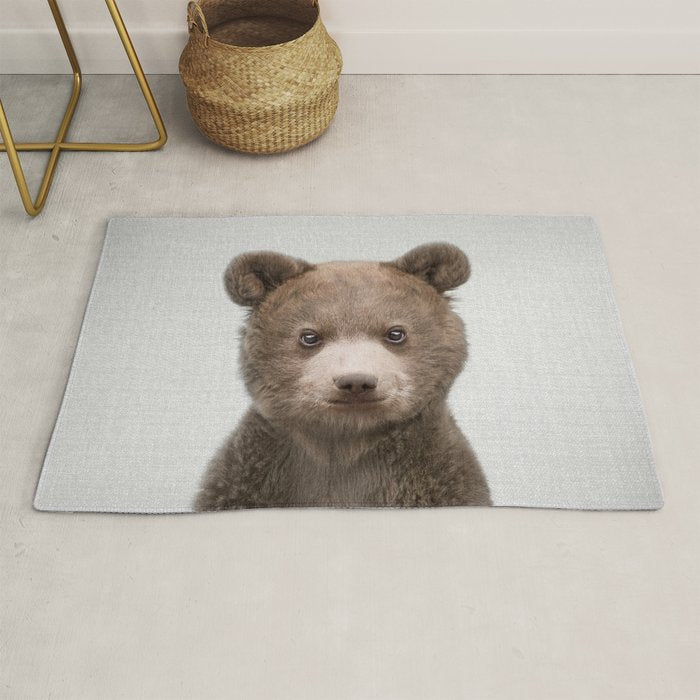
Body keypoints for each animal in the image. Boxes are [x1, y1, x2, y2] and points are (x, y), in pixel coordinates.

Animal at [195, 242, 491, 510]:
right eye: (309, 336)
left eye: (396, 333)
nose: (356, 381)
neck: (345, 442)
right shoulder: (255, 474)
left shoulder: (435, 475)